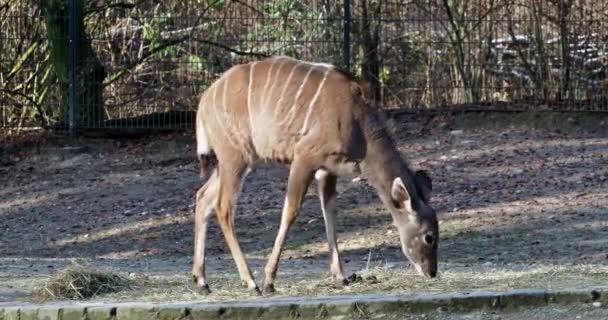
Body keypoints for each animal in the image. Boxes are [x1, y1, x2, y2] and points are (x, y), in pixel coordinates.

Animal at [192, 55, 434, 296]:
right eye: (429, 237)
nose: (432, 272)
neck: (359, 124)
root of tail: (204, 101)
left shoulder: (328, 169)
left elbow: (330, 212)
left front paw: (341, 277)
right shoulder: (304, 157)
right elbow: (290, 211)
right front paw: (269, 281)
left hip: (235, 160)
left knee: (203, 196)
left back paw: (202, 281)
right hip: (235, 157)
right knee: (223, 207)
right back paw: (251, 282)